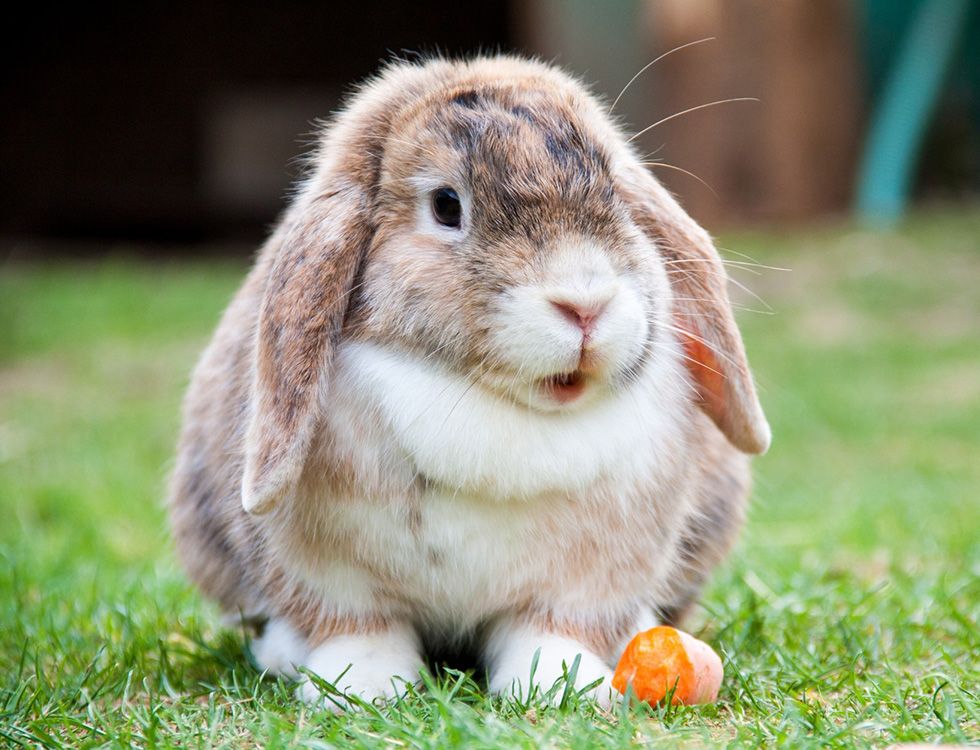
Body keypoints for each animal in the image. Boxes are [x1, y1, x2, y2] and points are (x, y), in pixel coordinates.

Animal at [167, 54, 770, 709]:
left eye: (614, 189)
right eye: (446, 206)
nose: (585, 304)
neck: (493, 404)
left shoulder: (587, 580)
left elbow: (552, 631)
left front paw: (561, 688)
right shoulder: (331, 577)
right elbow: (359, 628)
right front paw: (362, 689)